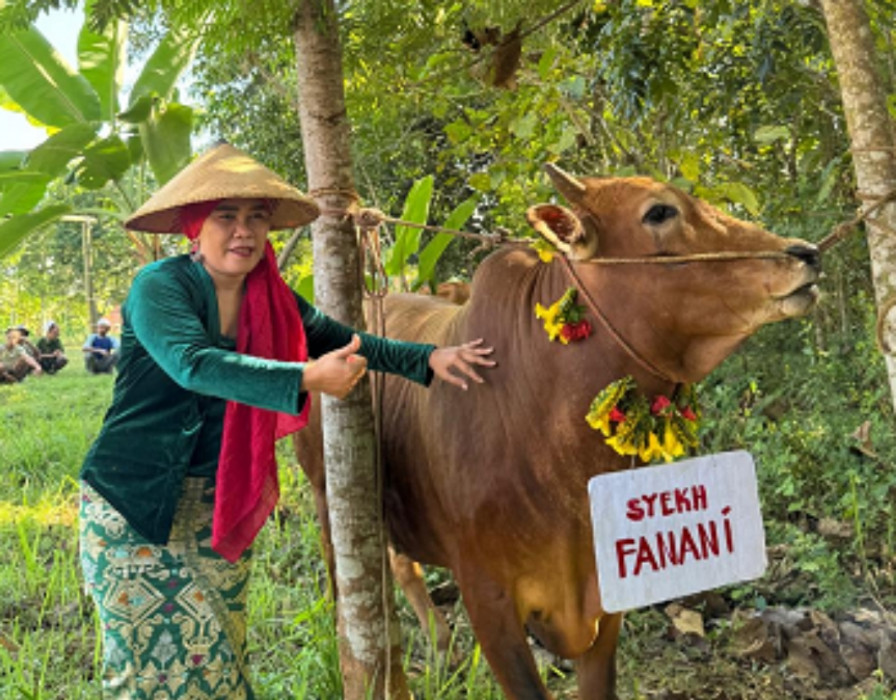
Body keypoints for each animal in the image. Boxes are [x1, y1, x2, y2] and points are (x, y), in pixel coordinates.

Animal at [294, 165, 820, 700]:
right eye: (658, 211)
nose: (805, 253)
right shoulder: (488, 601)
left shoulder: (604, 593)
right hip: (327, 493)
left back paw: (443, 652)